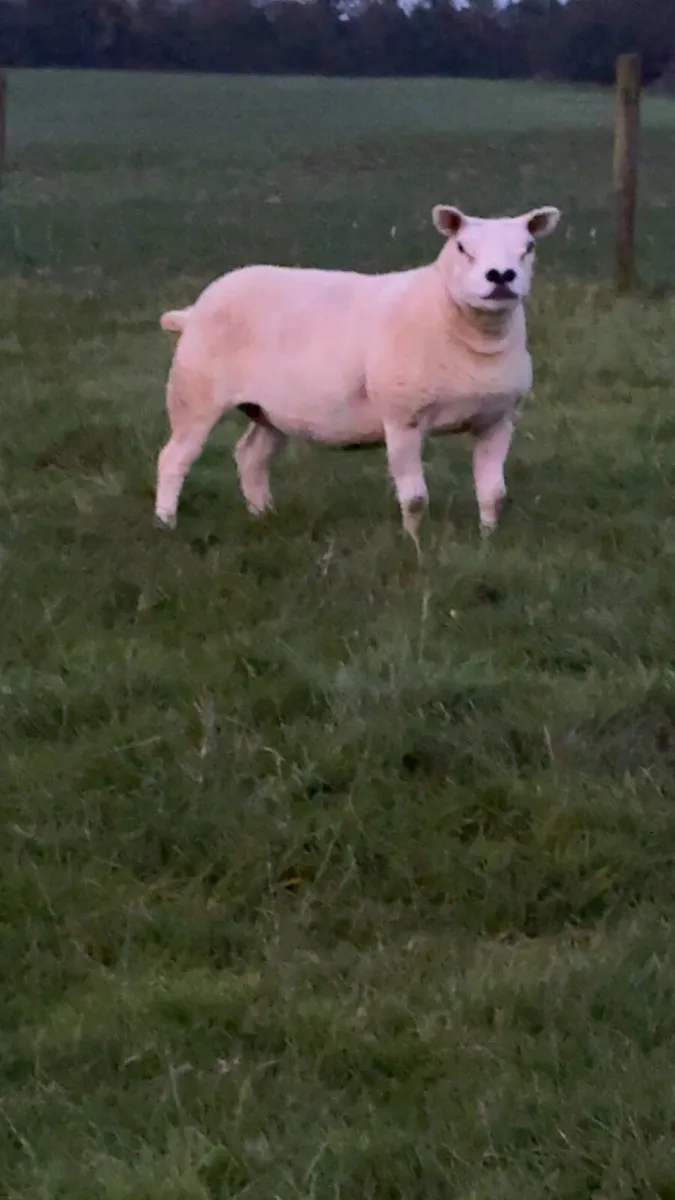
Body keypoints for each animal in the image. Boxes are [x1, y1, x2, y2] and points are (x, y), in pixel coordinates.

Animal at [154, 203, 561, 554]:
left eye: (528, 248)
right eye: (463, 248)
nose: (501, 277)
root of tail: (192, 311)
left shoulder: (498, 420)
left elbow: (494, 494)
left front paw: (488, 541)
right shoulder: (402, 419)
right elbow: (415, 499)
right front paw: (415, 547)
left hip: (271, 410)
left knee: (251, 455)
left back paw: (263, 515)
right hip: (194, 391)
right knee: (173, 458)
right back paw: (165, 524)